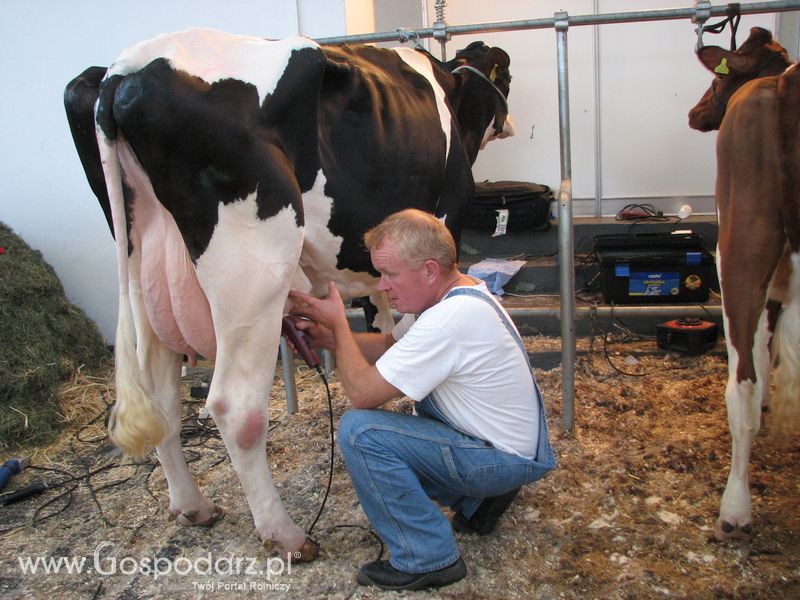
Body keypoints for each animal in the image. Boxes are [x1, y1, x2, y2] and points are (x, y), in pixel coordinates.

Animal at [62, 28, 512, 560]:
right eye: (505, 73)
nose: (510, 118)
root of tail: (123, 70)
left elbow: (381, 326)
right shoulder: (447, 217)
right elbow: (409, 324)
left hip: (146, 270)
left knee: (162, 399)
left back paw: (194, 507)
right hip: (252, 272)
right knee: (235, 407)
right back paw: (286, 535)